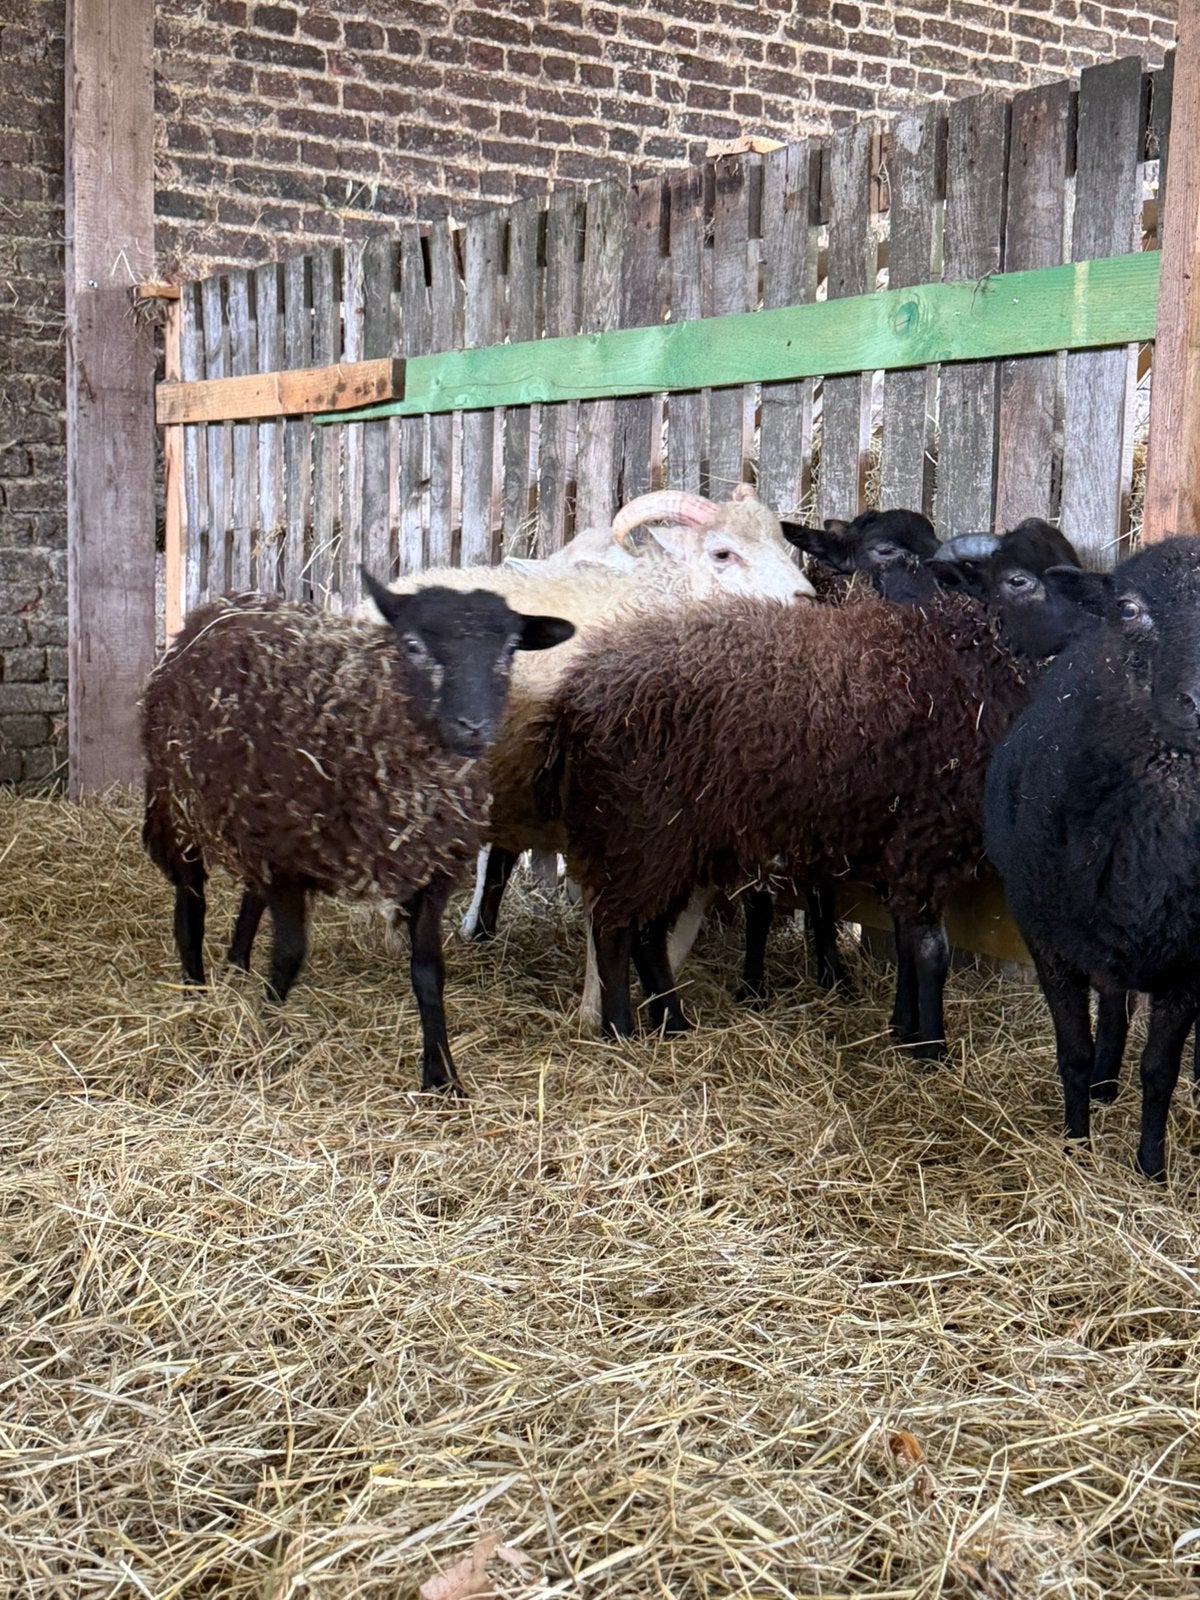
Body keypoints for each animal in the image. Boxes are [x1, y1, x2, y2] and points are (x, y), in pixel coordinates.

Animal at [141, 577, 573, 1094]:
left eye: (510, 649)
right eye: (413, 645)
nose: (474, 726)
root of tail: (220, 606)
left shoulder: (432, 872)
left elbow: (429, 972)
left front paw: (441, 1075)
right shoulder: (288, 862)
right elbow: (289, 955)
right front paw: (265, 1030)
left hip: (254, 824)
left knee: (250, 894)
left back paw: (236, 965)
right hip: (178, 805)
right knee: (191, 901)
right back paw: (194, 989)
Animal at [537, 585, 1031, 1056]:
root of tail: (571, 693)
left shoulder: (904, 855)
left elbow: (908, 947)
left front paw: (904, 1030)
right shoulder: (924, 845)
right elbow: (931, 953)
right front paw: (931, 1049)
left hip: (672, 846)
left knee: (647, 933)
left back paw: (673, 1024)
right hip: (635, 833)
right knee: (613, 930)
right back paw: (620, 1030)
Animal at [984, 535, 1200, 1182]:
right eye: (1128, 610)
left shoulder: (1190, 963)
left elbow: (1159, 1072)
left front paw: (1150, 1167)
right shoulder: (1047, 938)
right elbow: (1073, 1051)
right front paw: (1076, 1146)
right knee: (1112, 1002)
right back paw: (1103, 1087)